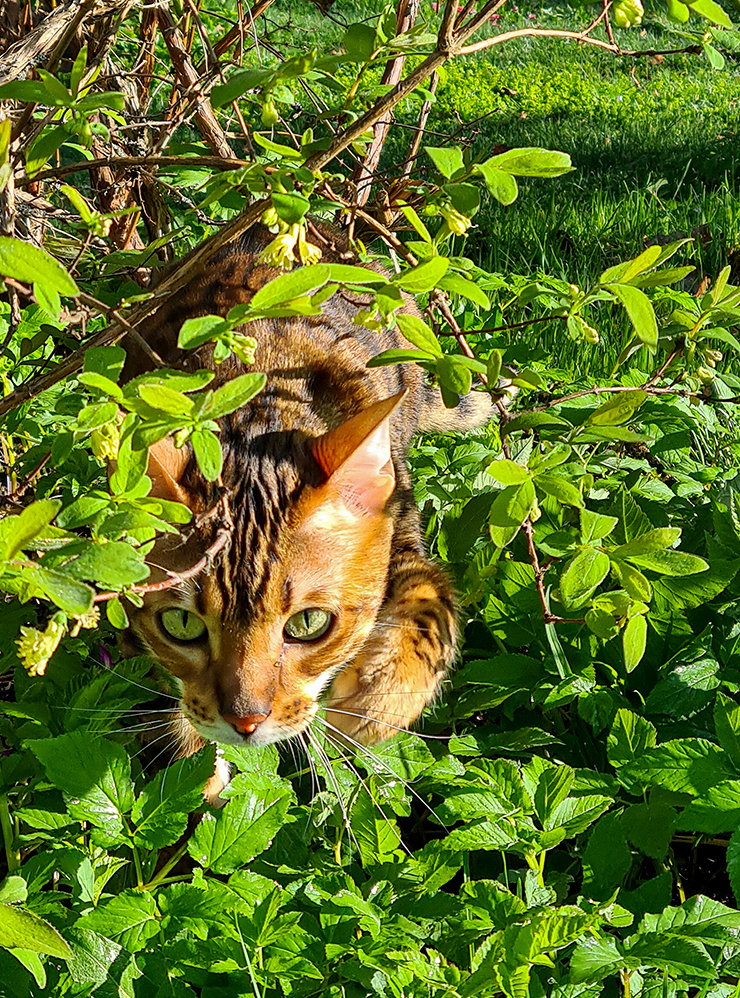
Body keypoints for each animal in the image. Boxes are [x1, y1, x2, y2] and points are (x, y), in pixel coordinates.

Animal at [121, 223, 492, 792]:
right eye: (180, 625)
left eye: (309, 624)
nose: (245, 721)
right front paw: (197, 772)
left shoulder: (401, 530)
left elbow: (432, 605)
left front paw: (373, 704)